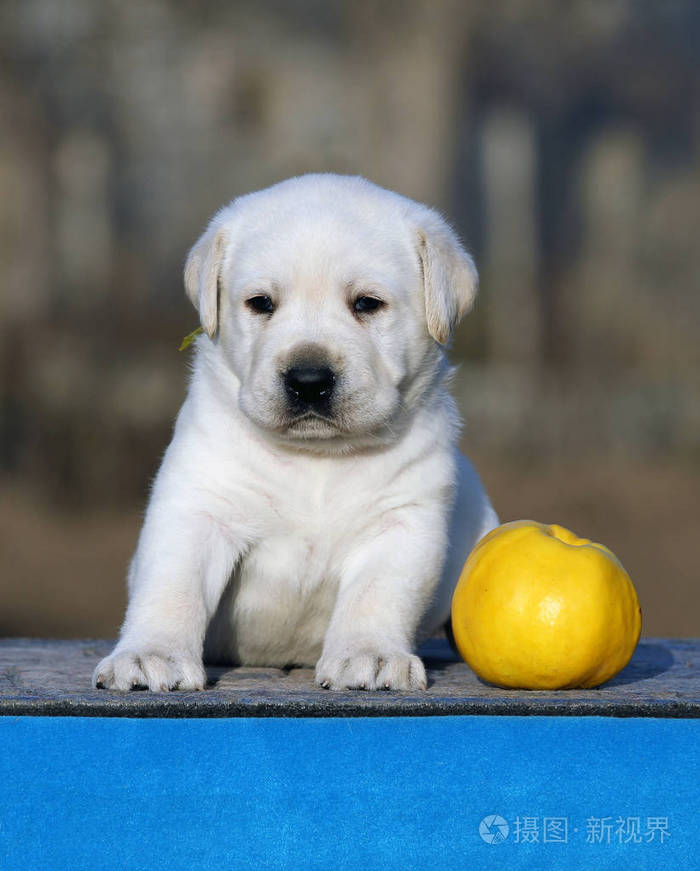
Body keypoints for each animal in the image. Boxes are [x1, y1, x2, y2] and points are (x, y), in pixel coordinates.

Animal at [94, 175, 498, 696]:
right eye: (261, 303)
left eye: (367, 304)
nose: (308, 379)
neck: (316, 458)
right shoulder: (198, 509)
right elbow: (171, 586)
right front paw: (150, 655)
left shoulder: (402, 522)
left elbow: (378, 595)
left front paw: (368, 656)